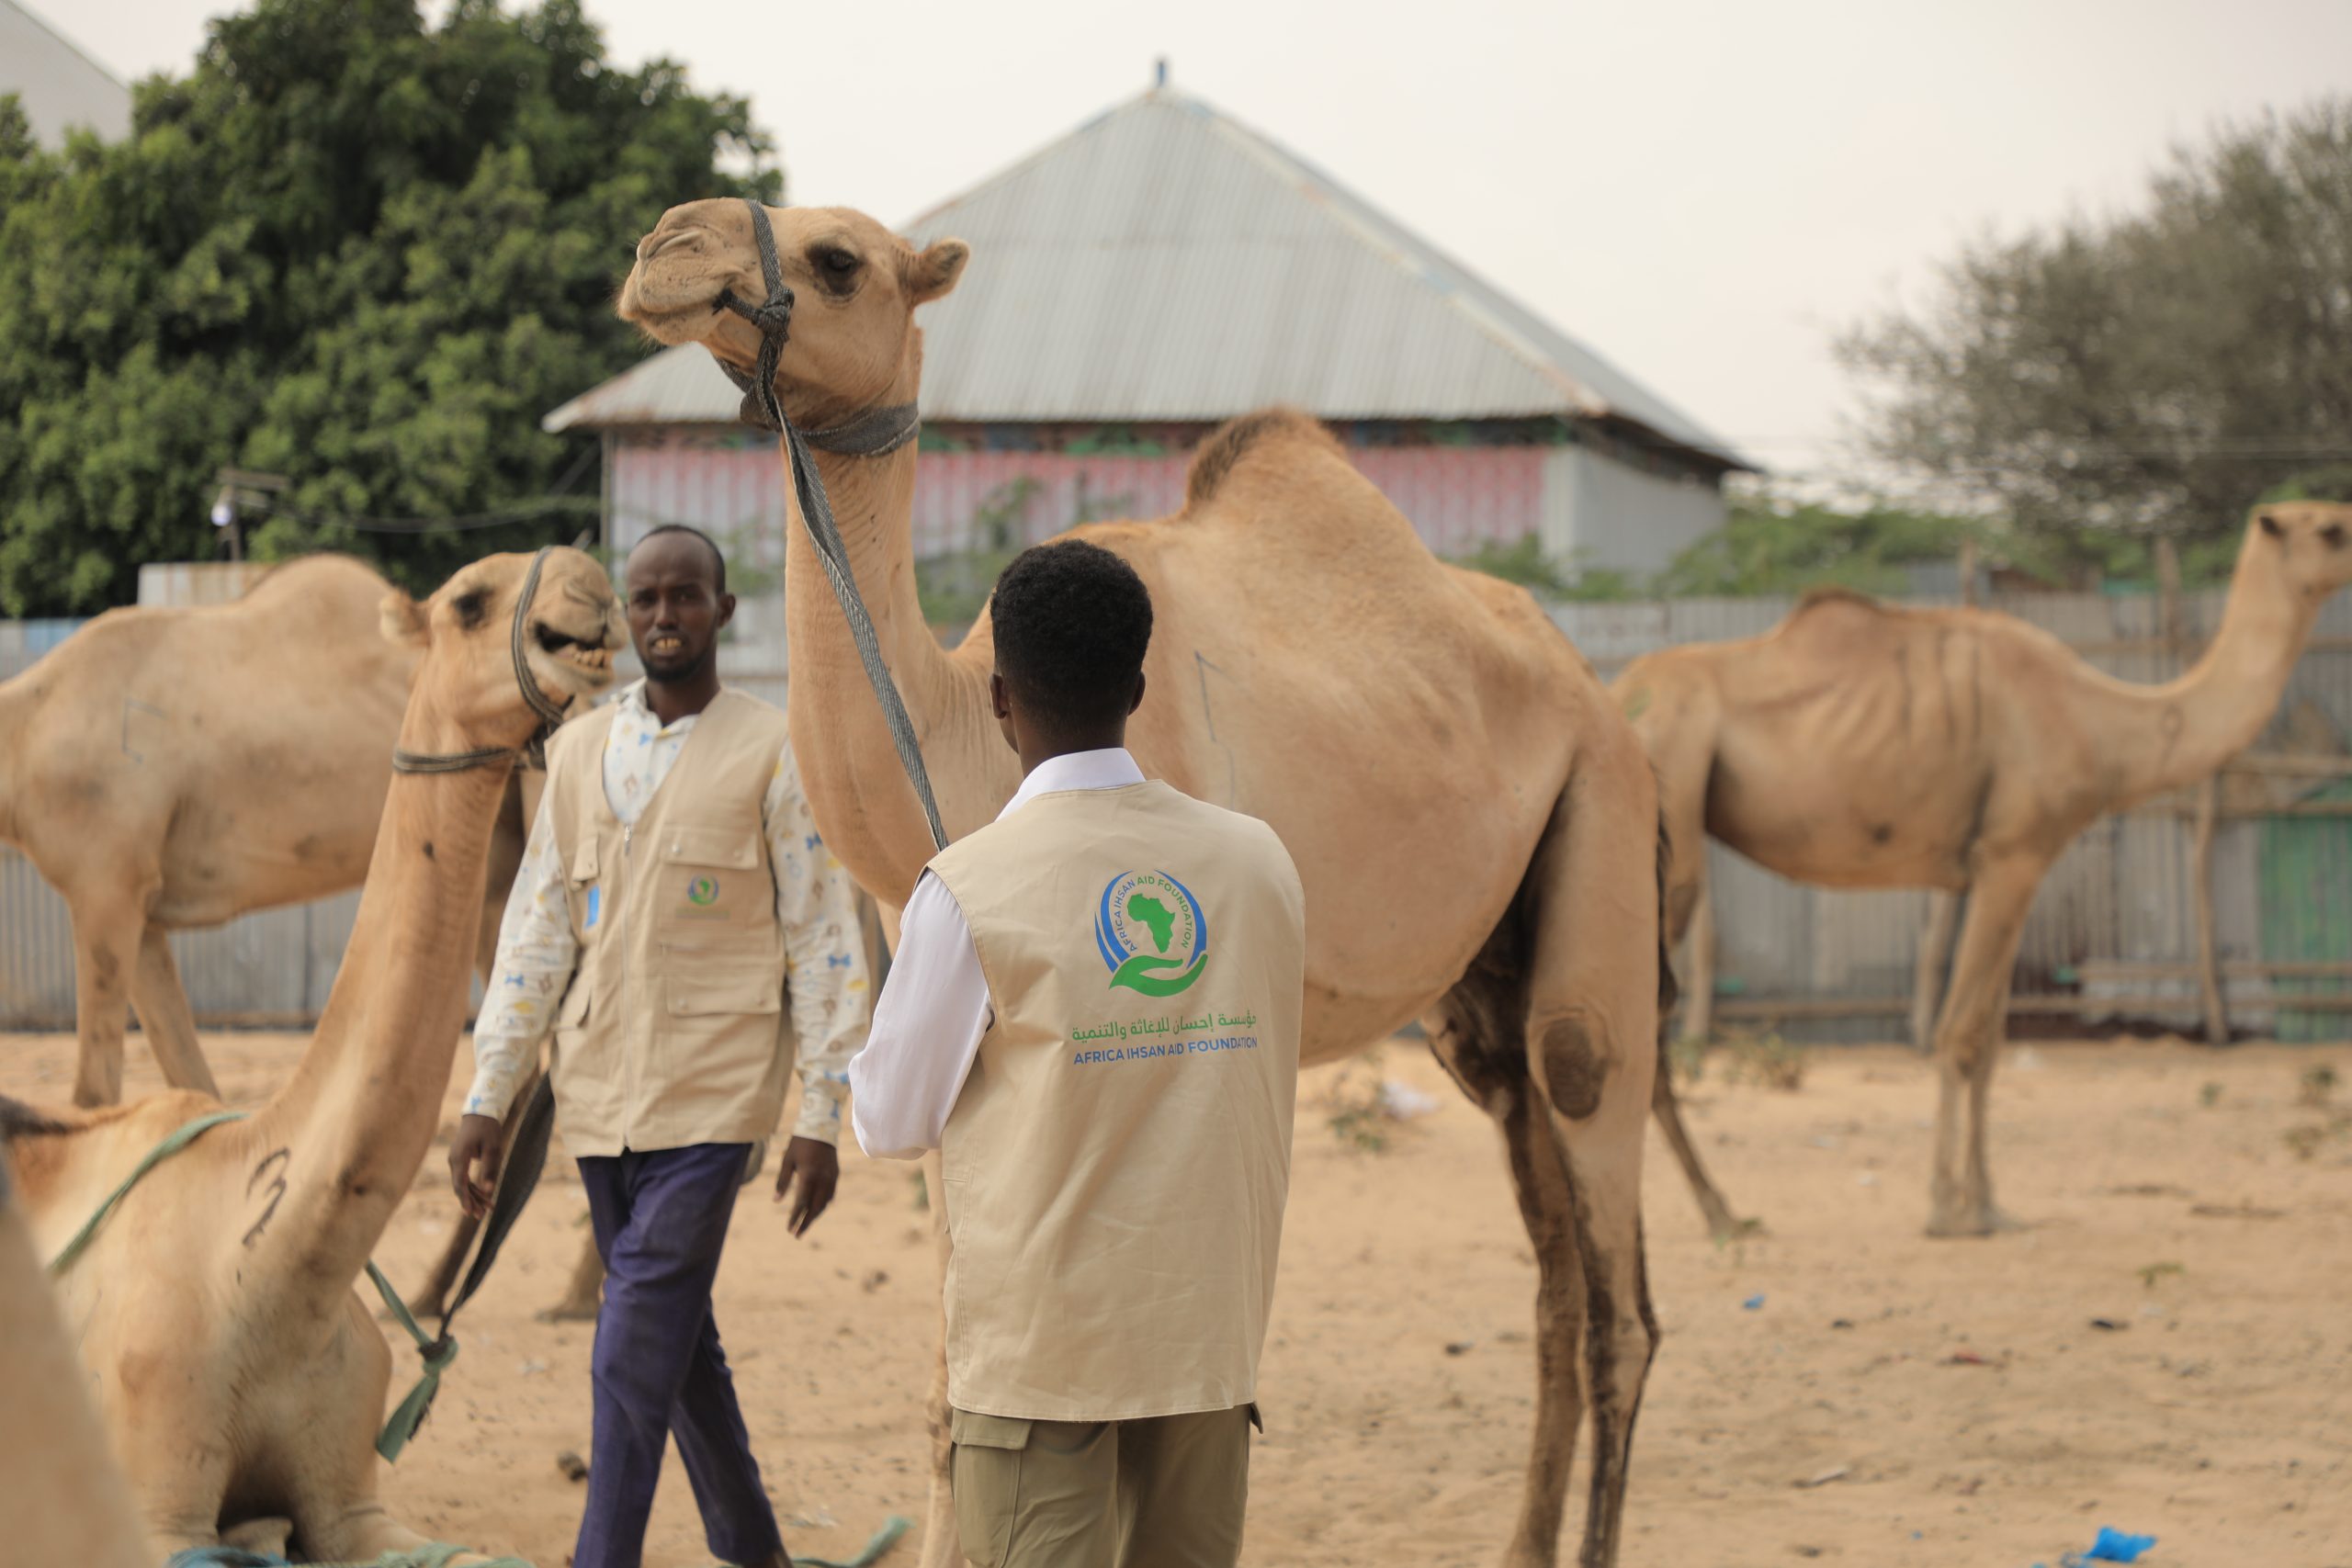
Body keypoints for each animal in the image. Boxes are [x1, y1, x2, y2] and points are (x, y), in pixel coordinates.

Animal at [620, 198, 1666, 1568]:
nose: (664, 249)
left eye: (838, 259)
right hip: (1482, 987)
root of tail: (1593, 687)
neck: (974, 741)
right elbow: (955, 1389)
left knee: (1600, 1188)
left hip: (1605, 810)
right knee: (1552, 1260)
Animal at [1615, 502, 2352, 1236]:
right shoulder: (2011, 855)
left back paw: (1708, 1210)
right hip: (1672, 810)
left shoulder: (2008, 867)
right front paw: (1950, 1207)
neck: (2104, 723)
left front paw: (1991, 1201)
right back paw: (1716, 1213)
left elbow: (1994, 1040)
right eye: (2333, 530)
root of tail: (1619, 694)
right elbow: (1963, 1033)